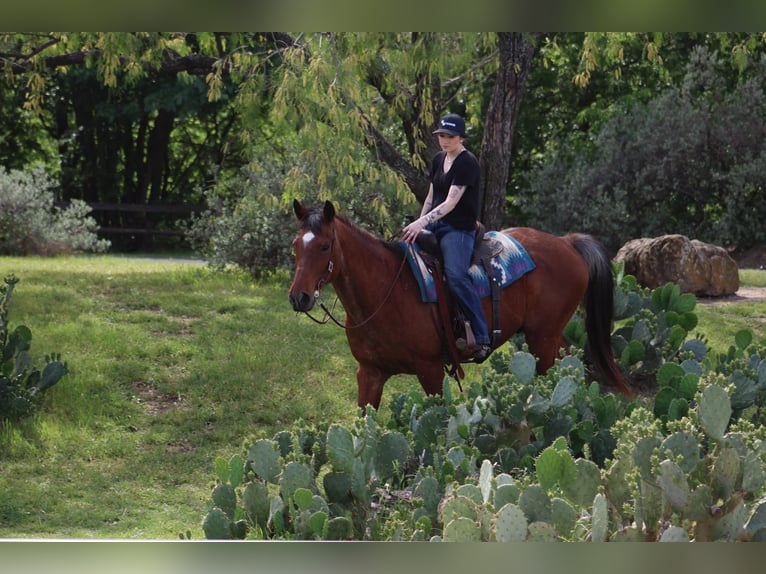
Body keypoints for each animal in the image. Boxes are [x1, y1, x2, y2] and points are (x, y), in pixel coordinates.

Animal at [289, 200, 632, 411]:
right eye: (295, 245)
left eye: (324, 246)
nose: (298, 297)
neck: (385, 290)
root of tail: (566, 242)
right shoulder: (369, 373)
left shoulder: (430, 371)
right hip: (548, 335)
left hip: (541, 338)